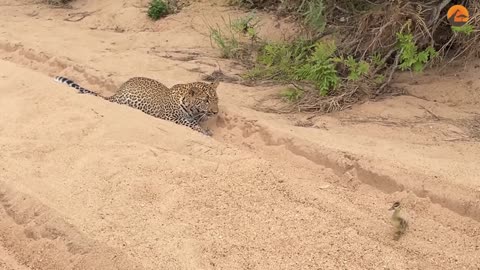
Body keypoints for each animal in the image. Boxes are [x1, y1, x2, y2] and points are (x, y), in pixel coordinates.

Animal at [54, 75, 219, 135]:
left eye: (216, 99)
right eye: (206, 100)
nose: (216, 112)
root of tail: (117, 92)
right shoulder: (171, 117)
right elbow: (189, 124)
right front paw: (205, 131)